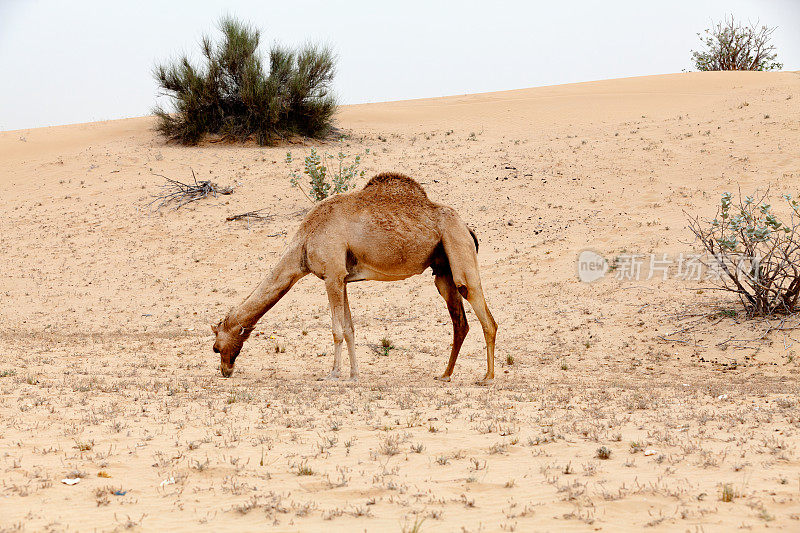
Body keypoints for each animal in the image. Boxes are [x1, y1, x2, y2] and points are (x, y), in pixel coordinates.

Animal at [216, 174, 496, 382]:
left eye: (216, 347)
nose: (225, 371)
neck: (304, 242)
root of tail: (467, 227)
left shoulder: (332, 275)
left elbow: (337, 330)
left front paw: (333, 374)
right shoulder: (342, 278)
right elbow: (350, 329)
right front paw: (353, 374)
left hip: (457, 246)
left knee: (482, 311)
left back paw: (487, 378)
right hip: (443, 271)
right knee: (460, 323)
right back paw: (445, 375)